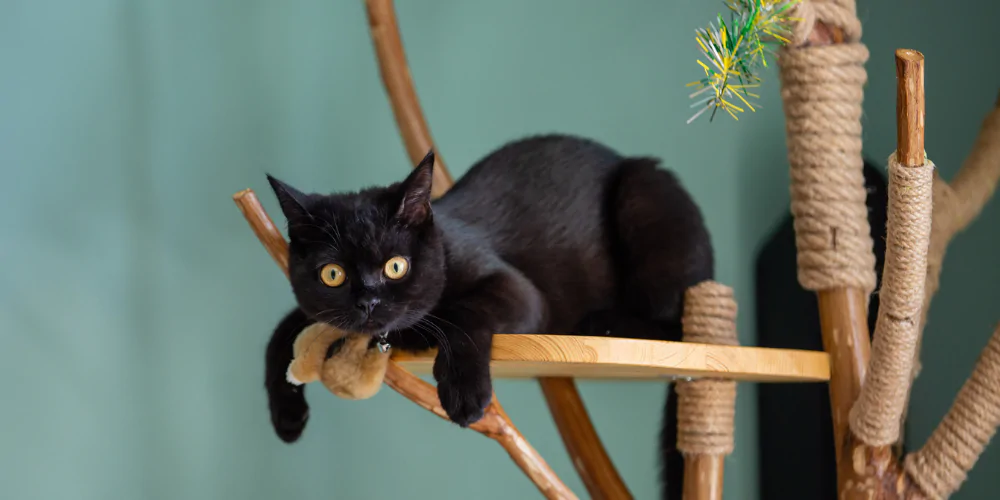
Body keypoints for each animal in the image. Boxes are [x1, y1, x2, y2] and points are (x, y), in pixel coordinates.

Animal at [264, 134, 712, 500]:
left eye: (396, 267)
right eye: (333, 274)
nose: (368, 302)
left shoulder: (522, 294)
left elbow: (462, 312)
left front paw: (462, 392)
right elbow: (280, 331)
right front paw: (286, 417)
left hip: (643, 195)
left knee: (677, 329)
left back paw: (604, 323)